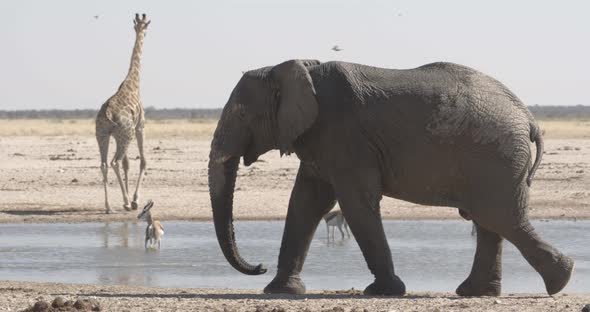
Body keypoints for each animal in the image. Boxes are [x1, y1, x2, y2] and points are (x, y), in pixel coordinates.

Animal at [96, 14, 151, 214]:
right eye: (145, 27)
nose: (142, 30)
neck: (133, 83)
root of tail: (107, 113)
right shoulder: (140, 126)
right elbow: (143, 161)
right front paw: (134, 200)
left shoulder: (122, 133)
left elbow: (128, 164)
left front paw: (129, 200)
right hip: (125, 135)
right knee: (114, 162)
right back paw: (126, 202)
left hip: (103, 135)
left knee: (104, 164)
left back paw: (108, 207)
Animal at [208, 59, 572, 298]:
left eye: (240, 113)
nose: (259, 265)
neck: (295, 67)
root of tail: (528, 118)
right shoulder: (320, 140)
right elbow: (306, 202)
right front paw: (280, 291)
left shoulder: (343, 134)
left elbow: (355, 202)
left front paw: (384, 291)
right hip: (494, 157)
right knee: (490, 220)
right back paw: (478, 292)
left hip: (495, 154)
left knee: (499, 217)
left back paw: (560, 280)